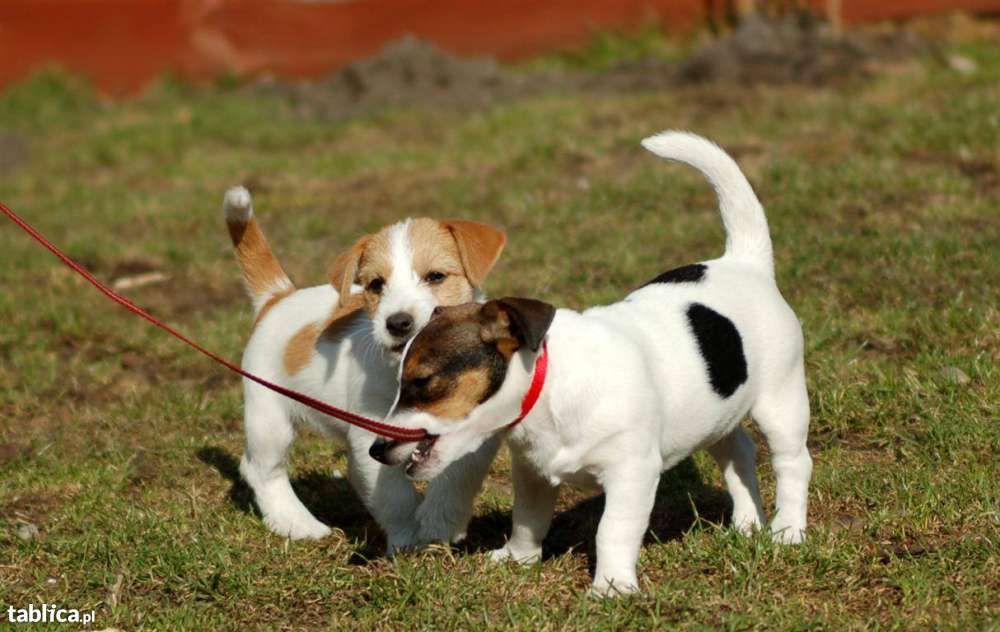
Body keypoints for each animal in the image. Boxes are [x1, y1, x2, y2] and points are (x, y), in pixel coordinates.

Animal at [223, 185, 504, 552]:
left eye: (436, 277)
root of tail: (278, 297)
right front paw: (408, 541)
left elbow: (455, 479)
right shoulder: (369, 434)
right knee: (261, 470)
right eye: (375, 285)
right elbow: (395, 496)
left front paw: (439, 525)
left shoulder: (468, 427)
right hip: (268, 417)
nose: (398, 322)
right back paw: (297, 523)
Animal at [368, 131, 812, 596]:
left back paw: (787, 531)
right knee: (739, 452)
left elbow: (612, 529)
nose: (376, 450)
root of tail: (744, 262)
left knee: (793, 462)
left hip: (780, 400)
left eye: (423, 382)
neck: (549, 388)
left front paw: (612, 586)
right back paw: (746, 524)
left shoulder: (632, 472)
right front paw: (518, 559)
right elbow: (528, 520)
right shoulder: (532, 472)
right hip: (714, 408)